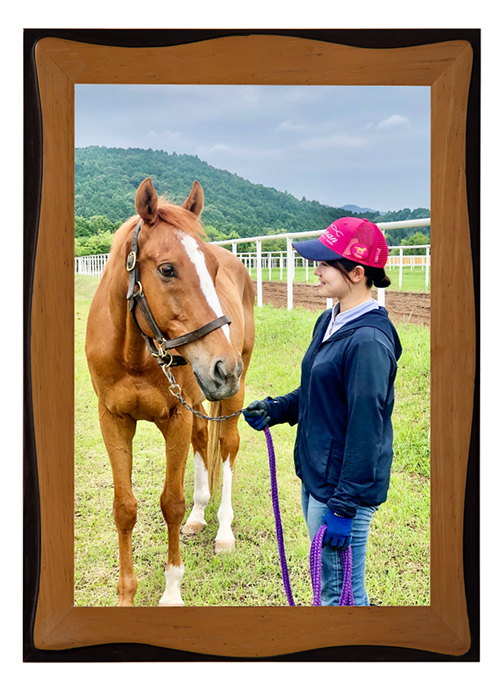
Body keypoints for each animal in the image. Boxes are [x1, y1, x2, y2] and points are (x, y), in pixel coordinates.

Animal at [85, 177, 255, 606]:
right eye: (167, 269)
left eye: (213, 268)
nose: (225, 367)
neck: (134, 353)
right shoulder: (113, 419)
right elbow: (124, 508)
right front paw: (126, 595)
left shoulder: (175, 418)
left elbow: (171, 504)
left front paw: (172, 592)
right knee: (203, 438)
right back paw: (199, 517)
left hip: (231, 394)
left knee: (226, 446)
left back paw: (223, 532)